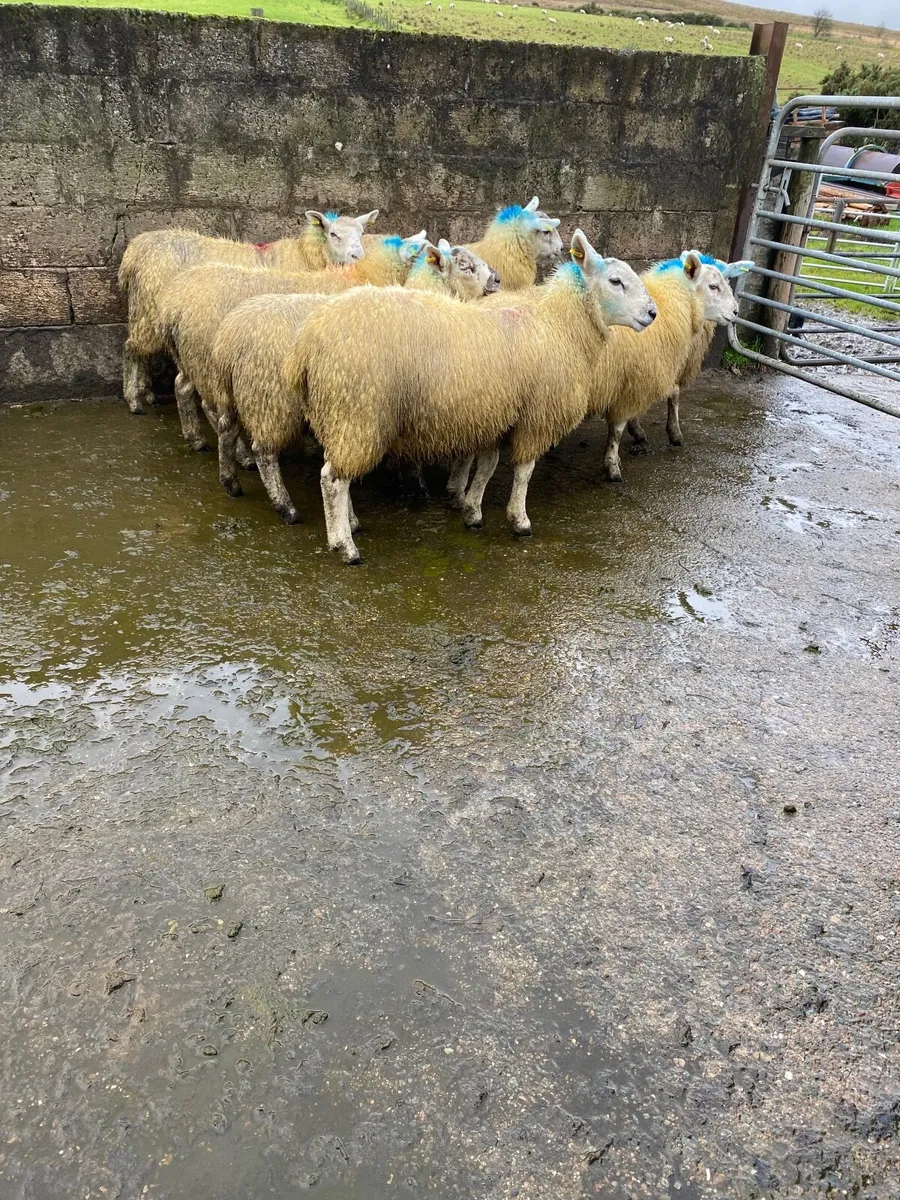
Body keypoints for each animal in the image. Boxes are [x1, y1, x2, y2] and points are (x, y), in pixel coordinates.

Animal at [118, 209, 378, 414]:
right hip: (148, 307)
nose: (358, 256)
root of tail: (134, 251)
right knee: (131, 349)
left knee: (140, 351)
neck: (306, 257)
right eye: (334, 234)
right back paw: (133, 401)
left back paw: (147, 393)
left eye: (361, 234)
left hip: (143, 309)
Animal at [212, 240, 497, 524]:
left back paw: (230, 482)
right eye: (465, 266)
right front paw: (424, 487)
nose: (497, 280)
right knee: (264, 452)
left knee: (226, 428)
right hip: (270, 401)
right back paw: (286, 507)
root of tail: (230, 336)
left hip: (238, 393)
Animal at [281, 230, 656, 563]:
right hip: (357, 412)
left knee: (337, 472)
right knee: (332, 480)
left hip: (338, 416)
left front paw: (472, 510)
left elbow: (487, 467)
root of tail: (307, 342)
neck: (559, 326)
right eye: (616, 281)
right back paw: (345, 546)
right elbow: (524, 471)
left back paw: (351, 523)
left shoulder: (498, 415)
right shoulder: (535, 417)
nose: (652, 313)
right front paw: (519, 520)